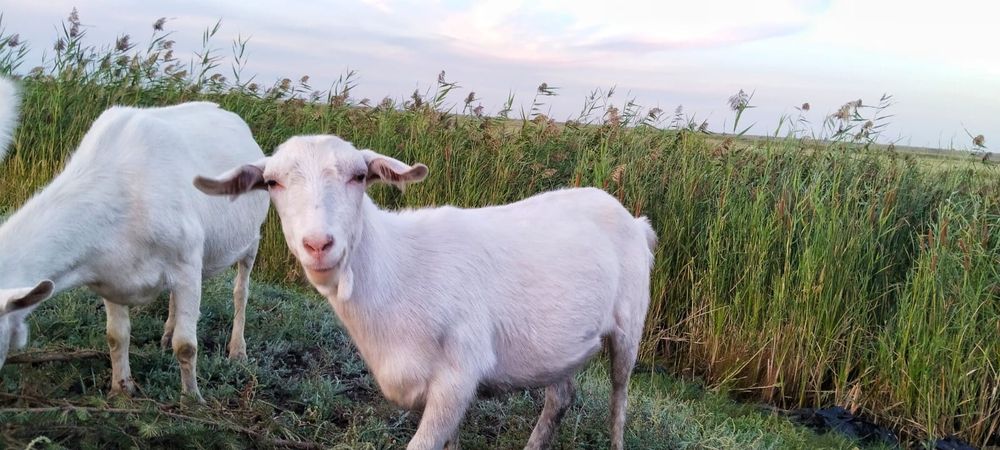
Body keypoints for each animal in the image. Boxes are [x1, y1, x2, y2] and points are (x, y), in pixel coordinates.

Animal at [0, 101, 269, 403]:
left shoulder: (187, 263)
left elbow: (186, 345)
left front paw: (192, 399)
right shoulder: (110, 276)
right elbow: (116, 336)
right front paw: (121, 389)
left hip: (251, 238)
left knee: (241, 291)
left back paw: (237, 350)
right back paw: (167, 334)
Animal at [195, 135, 656, 449]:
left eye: (359, 176)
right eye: (272, 183)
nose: (318, 244)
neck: (399, 270)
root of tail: (635, 220)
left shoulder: (458, 376)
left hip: (630, 326)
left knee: (618, 400)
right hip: (558, 348)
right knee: (560, 397)